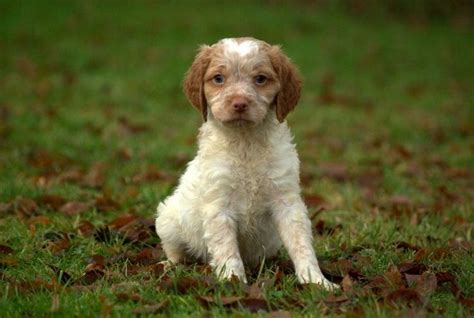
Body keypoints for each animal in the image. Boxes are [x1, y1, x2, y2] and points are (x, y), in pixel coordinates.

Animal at [156, 37, 336, 288]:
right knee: (175, 250)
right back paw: (169, 265)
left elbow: (301, 243)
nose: (240, 103)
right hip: (168, 219)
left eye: (260, 79)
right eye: (218, 78)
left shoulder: (287, 201)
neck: (245, 142)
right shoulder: (218, 205)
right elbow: (227, 249)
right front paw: (233, 280)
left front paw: (315, 280)